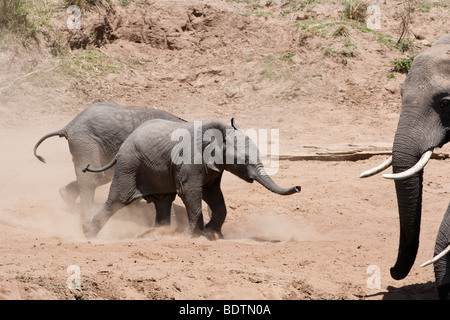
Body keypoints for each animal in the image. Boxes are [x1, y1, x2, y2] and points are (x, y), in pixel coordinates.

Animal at [82, 119, 300, 239]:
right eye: (244, 159)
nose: (298, 187)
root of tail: (122, 146)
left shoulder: (213, 167)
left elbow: (213, 196)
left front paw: (213, 234)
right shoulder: (190, 159)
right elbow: (190, 192)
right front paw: (200, 236)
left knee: (163, 201)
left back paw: (160, 233)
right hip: (129, 164)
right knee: (119, 198)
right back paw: (88, 233)